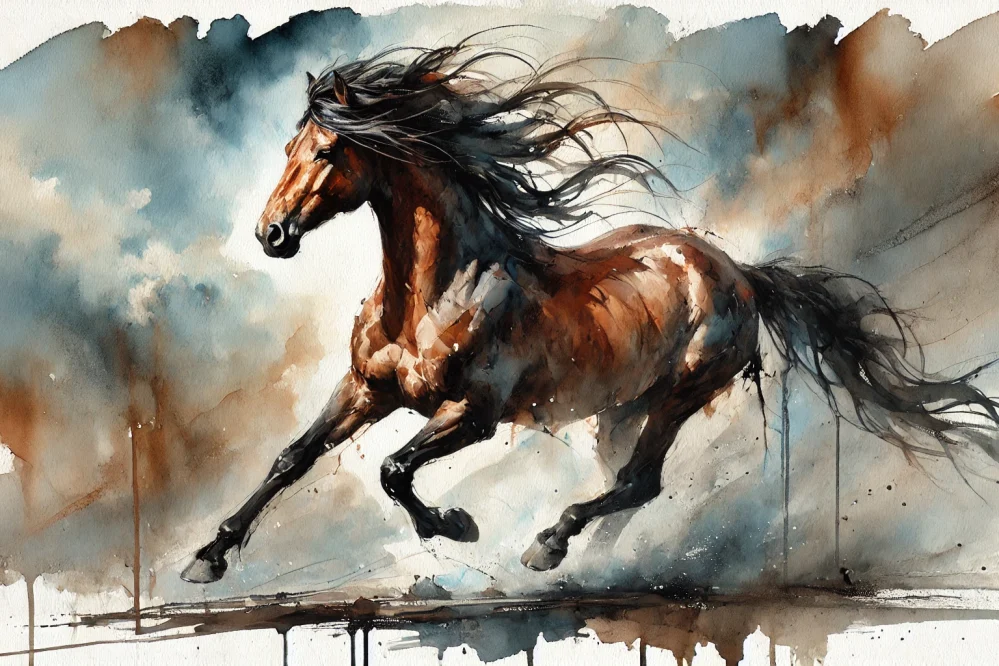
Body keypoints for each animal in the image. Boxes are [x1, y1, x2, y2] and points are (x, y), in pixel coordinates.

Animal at [181, 41, 999, 584]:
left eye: (326, 151)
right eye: (290, 144)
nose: (271, 234)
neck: (433, 295)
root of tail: (735, 273)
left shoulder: (475, 414)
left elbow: (391, 470)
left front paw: (457, 525)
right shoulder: (367, 388)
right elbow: (291, 458)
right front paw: (207, 556)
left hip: (681, 393)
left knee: (639, 482)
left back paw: (550, 546)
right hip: (621, 408)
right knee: (630, 485)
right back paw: (593, 557)